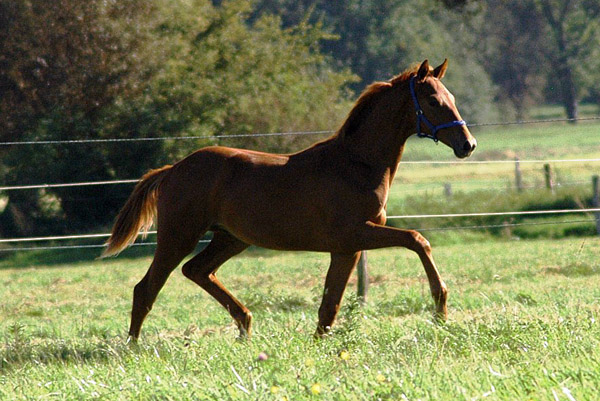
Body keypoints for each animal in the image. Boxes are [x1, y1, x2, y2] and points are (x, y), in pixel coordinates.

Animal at [104, 59, 478, 340]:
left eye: (451, 97)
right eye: (433, 101)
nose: (468, 145)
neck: (356, 164)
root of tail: (172, 169)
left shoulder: (347, 248)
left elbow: (330, 304)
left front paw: (319, 344)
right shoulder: (355, 233)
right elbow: (417, 239)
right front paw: (440, 307)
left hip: (231, 239)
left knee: (196, 270)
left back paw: (245, 324)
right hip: (178, 236)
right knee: (146, 288)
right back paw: (133, 347)